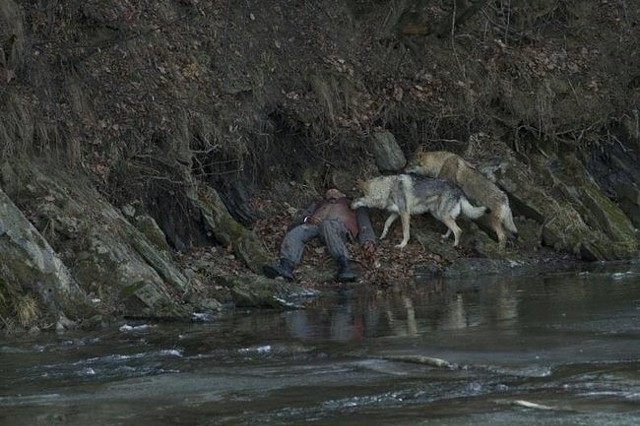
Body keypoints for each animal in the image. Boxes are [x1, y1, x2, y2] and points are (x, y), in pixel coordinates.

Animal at [350, 172, 484, 246]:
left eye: (357, 196)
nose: (350, 206)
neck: (388, 189)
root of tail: (459, 190)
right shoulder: (397, 213)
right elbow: (386, 223)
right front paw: (383, 235)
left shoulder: (405, 214)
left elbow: (406, 233)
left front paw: (402, 245)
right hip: (439, 215)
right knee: (452, 227)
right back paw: (445, 237)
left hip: (443, 215)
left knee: (458, 230)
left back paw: (454, 245)